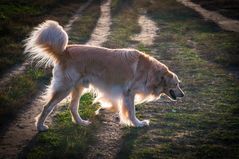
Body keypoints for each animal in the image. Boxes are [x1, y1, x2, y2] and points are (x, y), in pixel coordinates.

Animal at [24, 20, 185, 132]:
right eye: (176, 84)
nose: (183, 95)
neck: (150, 72)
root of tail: (65, 51)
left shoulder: (119, 93)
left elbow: (114, 105)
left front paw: (102, 109)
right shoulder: (128, 93)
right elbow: (131, 112)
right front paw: (138, 124)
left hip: (78, 87)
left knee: (73, 107)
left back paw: (81, 122)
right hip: (65, 88)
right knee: (47, 107)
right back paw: (40, 126)